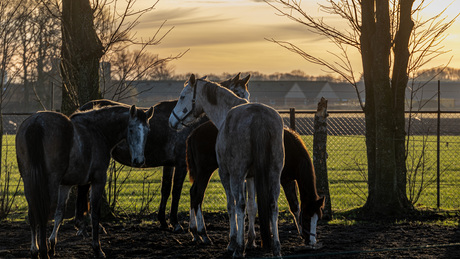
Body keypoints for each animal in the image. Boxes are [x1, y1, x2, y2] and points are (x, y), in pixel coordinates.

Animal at [15, 104, 155, 258]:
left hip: (29, 181)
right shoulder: (98, 180)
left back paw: (35, 250)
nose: (139, 161)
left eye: (147, 130)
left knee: (33, 214)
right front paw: (97, 248)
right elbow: (94, 213)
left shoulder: (67, 184)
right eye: (131, 129)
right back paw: (43, 251)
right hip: (50, 182)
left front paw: (53, 244)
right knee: (43, 214)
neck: (97, 131)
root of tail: (36, 122)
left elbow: (60, 213)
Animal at [169, 74, 284, 258]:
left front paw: (234, 242)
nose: (171, 120)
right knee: (272, 204)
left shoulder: (227, 173)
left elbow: (233, 205)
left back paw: (231, 246)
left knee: (234, 203)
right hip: (274, 172)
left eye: (182, 96)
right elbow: (252, 206)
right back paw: (276, 248)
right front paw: (249, 241)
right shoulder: (251, 177)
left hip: (228, 173)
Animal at [185, 124, 326, 250]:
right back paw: (203, 233)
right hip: (205, 170)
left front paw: (300, 232)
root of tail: (193, 134)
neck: (289, 147)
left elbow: (295, 206)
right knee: (198, 195)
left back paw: (195, 232)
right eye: (306, 218)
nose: (312, 242)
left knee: (193, 193)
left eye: (318, 218)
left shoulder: (287, 180)